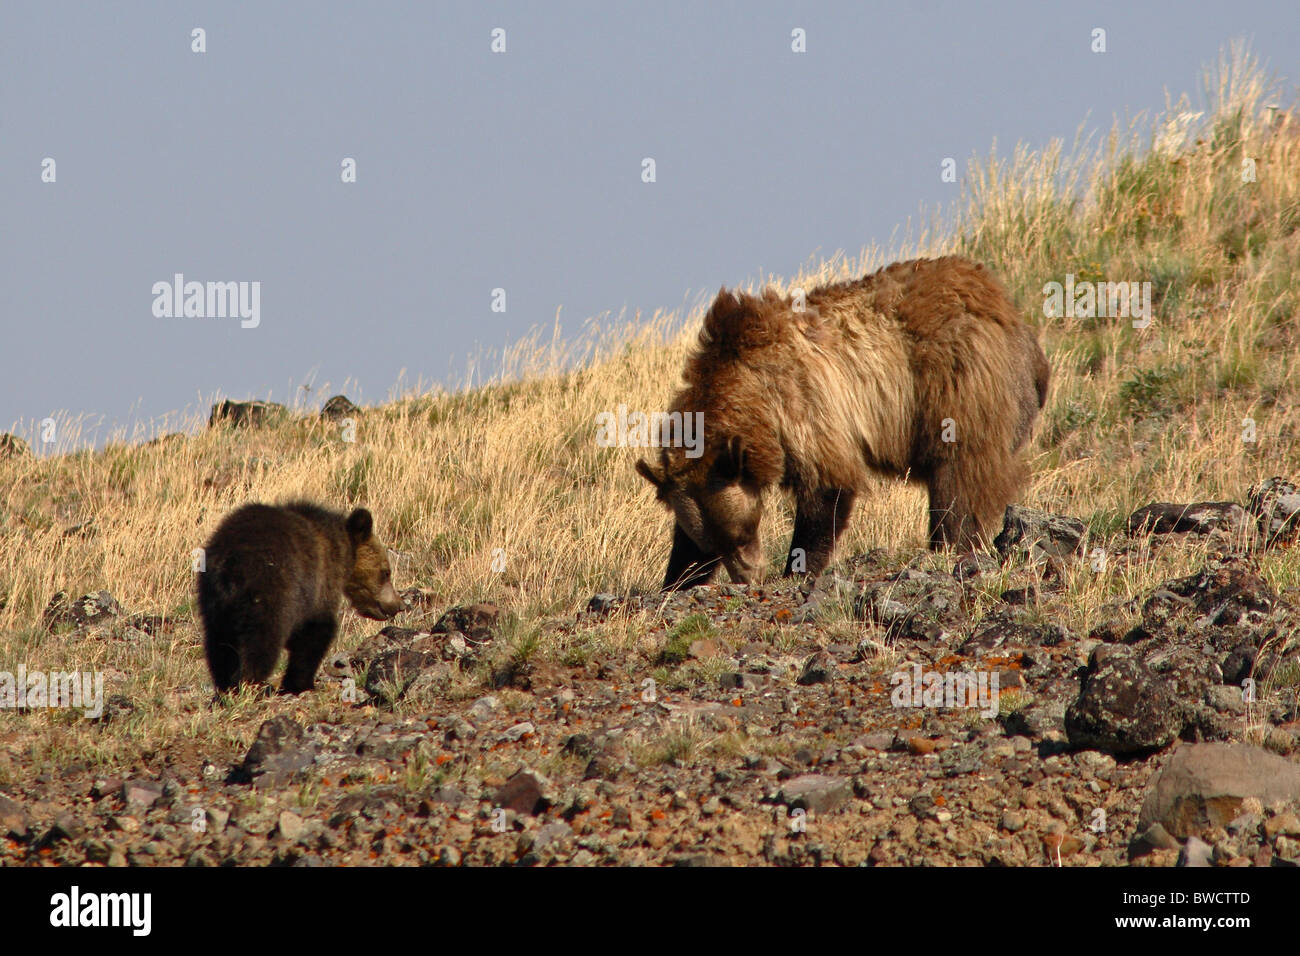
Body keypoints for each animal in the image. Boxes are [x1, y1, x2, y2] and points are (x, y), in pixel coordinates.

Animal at [197, 501, 405, 694]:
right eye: (386, 572)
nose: (398, 605)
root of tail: (230, 562)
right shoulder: (318, 582)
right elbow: (315, 632)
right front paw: (301, 684)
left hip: (214, 601)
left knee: (218, 644)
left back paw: (225, 685)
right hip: (269, 591)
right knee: (261, 641)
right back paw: (248, 684)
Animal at [636, 255, 1050, 590]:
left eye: (741, 531)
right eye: (712, 543)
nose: (747, 575)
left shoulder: (805, 404)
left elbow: (827, 486)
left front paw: (797, 568)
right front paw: (677, 579)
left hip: (957, 386)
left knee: (960, 475)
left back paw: (949, 544)